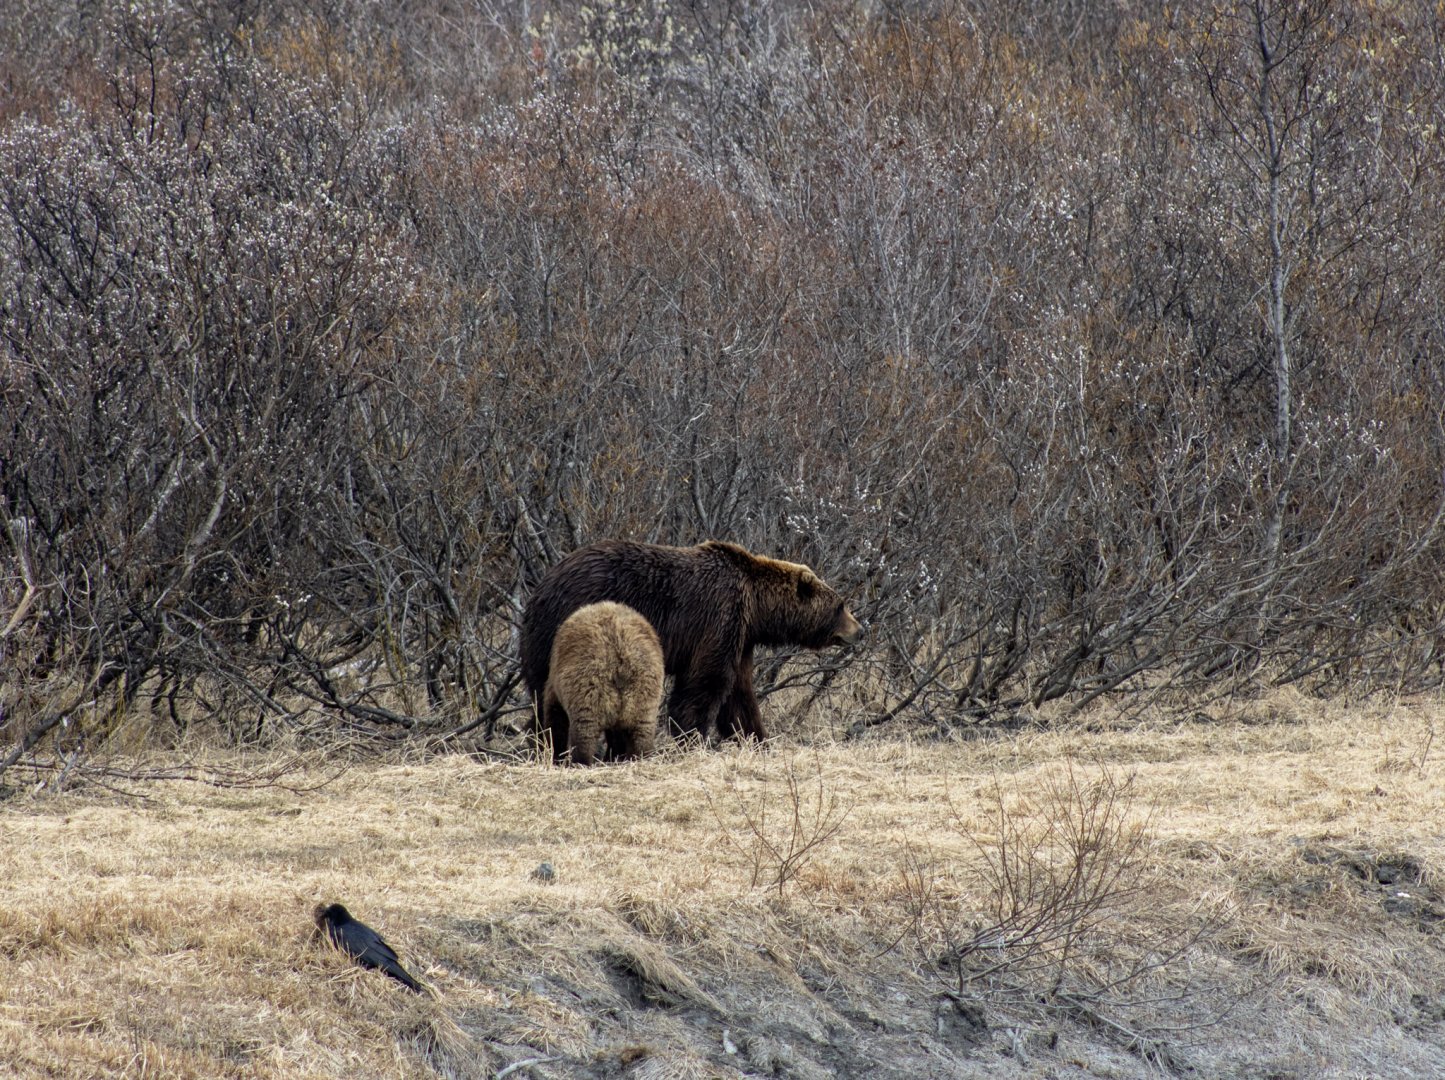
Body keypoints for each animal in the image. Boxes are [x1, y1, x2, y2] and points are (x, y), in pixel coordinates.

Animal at [543, 601, 665, 765]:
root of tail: (619, 654)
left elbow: (555, 718)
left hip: (587, 687)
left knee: (584, 732)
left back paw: (580, 762)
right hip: (644, 691)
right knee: (641, 732)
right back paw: (640, 757)